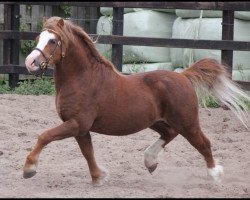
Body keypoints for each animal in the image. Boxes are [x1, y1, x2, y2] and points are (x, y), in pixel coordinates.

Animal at [23, 16, 250, 185]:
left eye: (52, 41)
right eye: (38, 37)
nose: (30, 62)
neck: (84, 79)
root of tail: (183, 76)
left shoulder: (77, 124)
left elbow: (45, 136)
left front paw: (29, 168)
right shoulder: (80, 128)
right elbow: (87, 152)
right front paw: (99, 177)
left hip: (188, 123)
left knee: (204, 143)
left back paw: (214, 174)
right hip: (157, 121)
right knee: (170, 133)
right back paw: (150, 161)